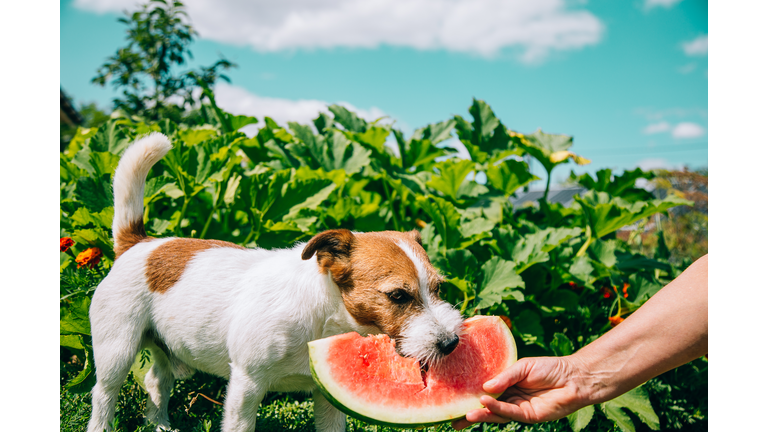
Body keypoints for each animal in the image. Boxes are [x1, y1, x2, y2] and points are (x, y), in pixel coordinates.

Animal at [87, 132, 464, 432]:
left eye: (438, 288)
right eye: (398, 296)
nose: (451, 343)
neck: (322, 317)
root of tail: (137, 242)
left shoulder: (328, 399)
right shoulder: (246, 385)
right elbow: (239, 425)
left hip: (164, 346)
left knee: (156, 381)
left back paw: (161, 424)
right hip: (117, 348)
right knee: (103, 393)